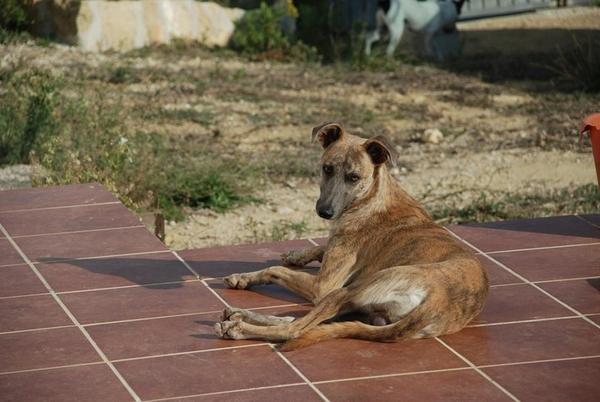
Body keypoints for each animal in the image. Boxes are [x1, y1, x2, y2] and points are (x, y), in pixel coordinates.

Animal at [214, 121, 488, 350]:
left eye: (354, 177)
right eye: (327, 169)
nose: (325, 212)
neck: (372, 197)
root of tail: (438, 303)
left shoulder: (323, 284)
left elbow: (275, 269)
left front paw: (246, 276)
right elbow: (319, 248)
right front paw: (295, 255)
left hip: (345, 292)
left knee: (295, 328)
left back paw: (238, 327)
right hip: (361, 308)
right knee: (297, 321)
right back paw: (238, 315)